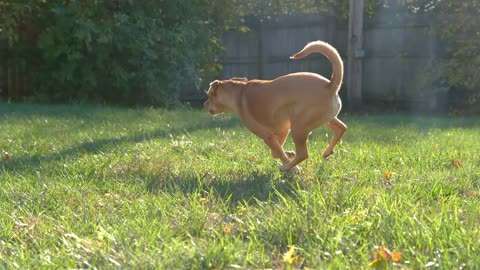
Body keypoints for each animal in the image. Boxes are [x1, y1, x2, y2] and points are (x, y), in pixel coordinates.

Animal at [204, 40, 346, 171]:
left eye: (209, 96)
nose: (204, 104)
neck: (239, 92)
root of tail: (330, 85)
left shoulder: (268, 136)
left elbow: (277, 152)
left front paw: (292, 166)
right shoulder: (282, 130)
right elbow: (277, 151)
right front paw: (289, 154)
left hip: (299, 127)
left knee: (303, 154)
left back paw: (285, 168)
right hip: (323, 119)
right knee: (341, 128)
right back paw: (326, 152)